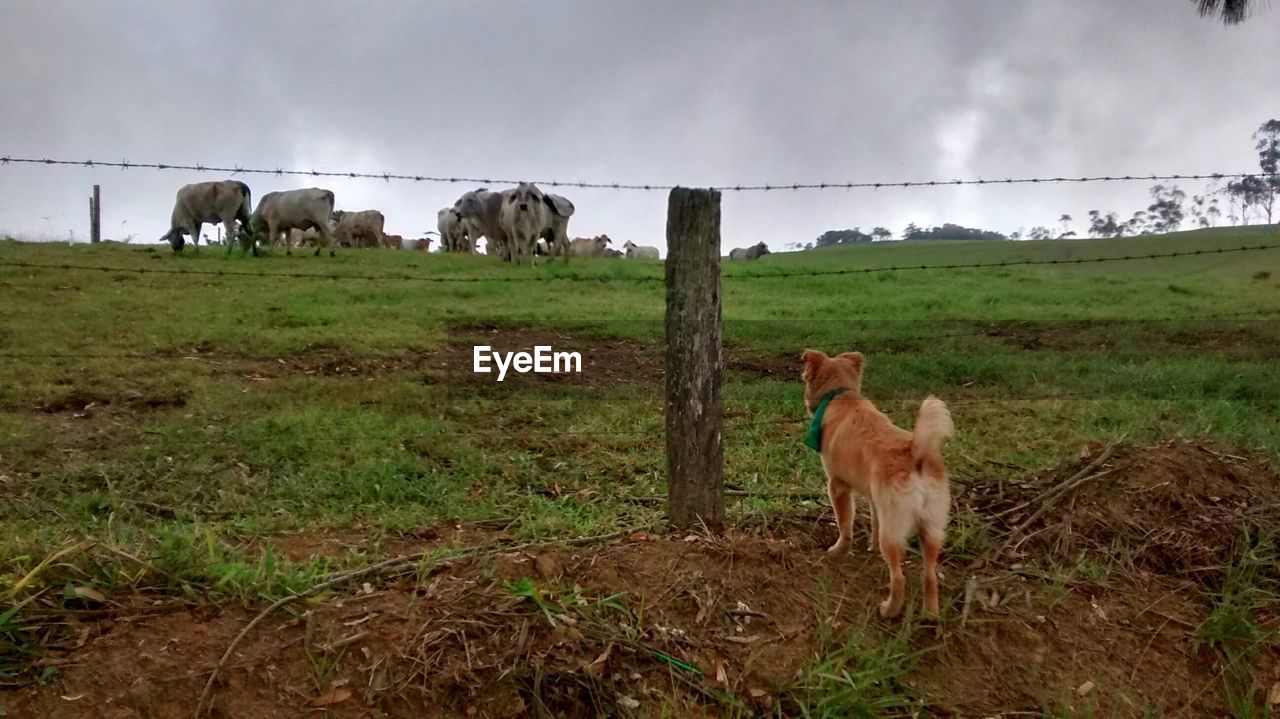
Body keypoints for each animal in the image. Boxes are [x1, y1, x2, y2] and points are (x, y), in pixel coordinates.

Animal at [798, 347, 952, 616]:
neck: (841, 395)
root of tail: (916, 452)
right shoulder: (874, 498)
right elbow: (874, 522)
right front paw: (870, 547)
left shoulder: (837, 487)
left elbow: (845, 525)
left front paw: (838, 550)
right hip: (931, 527)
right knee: (929, 574)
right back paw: (930, 614)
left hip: (894, 532)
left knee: (899, 577)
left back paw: (889, 610)